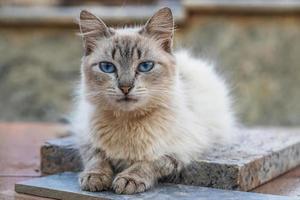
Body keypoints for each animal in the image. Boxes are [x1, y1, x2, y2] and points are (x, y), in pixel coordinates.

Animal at [72, 7, 234, 195]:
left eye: (145, 66)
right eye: (107, 67)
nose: (125, 87)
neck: (127, 123)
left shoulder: (179, 150)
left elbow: (147, 163)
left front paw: (128, 180)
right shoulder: (85, 137)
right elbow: (97, 158)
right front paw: (95, 177)